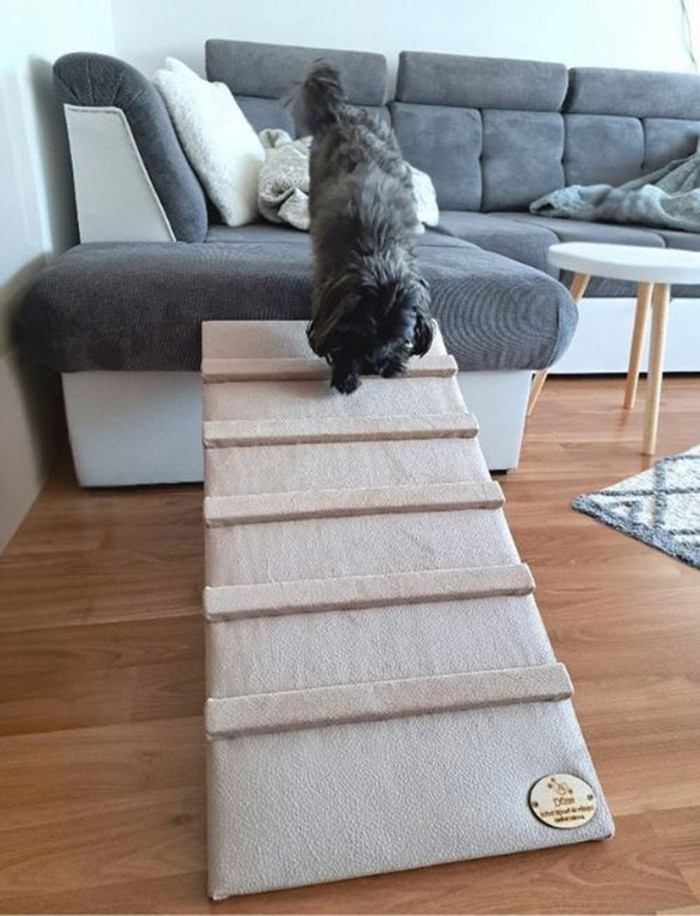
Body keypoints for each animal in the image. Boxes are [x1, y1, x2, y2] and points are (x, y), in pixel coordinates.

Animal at [295, 62, 433, 394]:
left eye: (398, 338)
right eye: (359, 335)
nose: (377, 368)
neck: (378, 247)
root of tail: (342, 111)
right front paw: (345, 371)